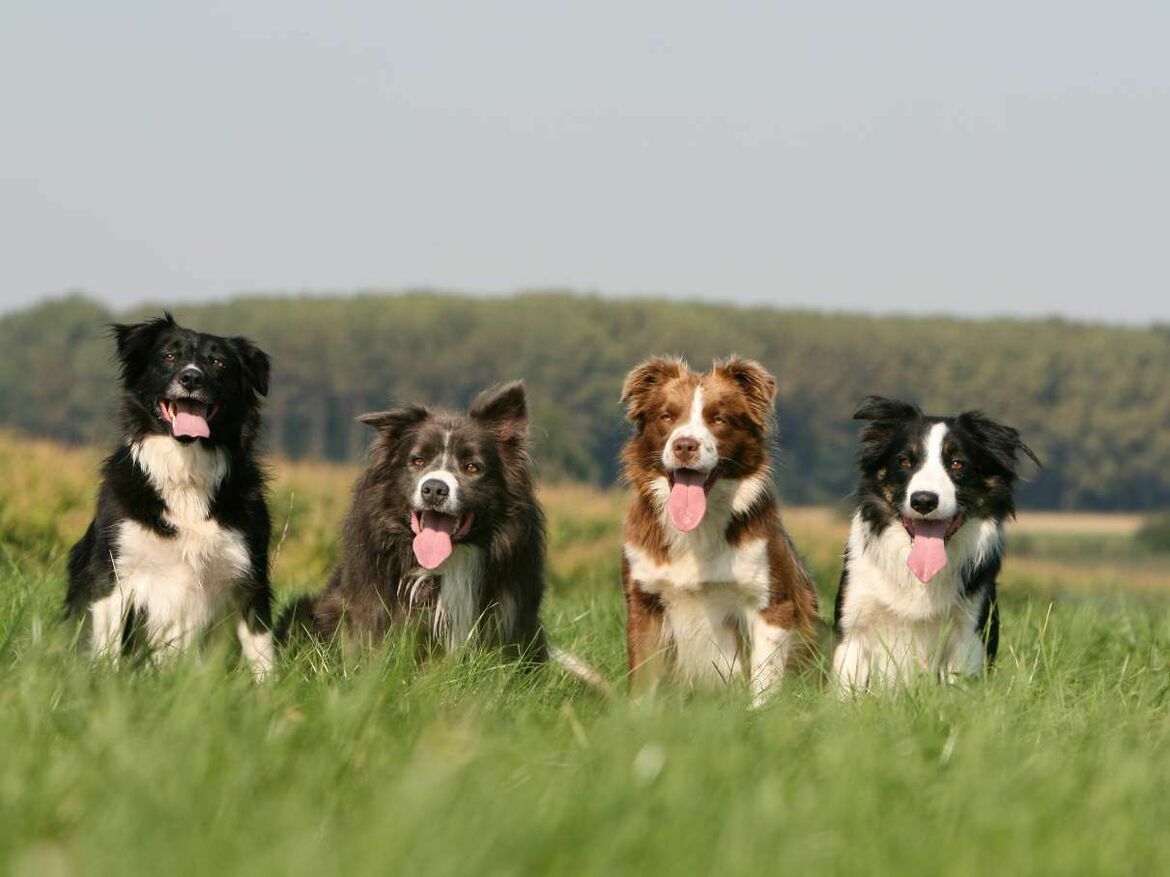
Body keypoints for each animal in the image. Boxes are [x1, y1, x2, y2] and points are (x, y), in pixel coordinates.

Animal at [68, 315, 276, 678]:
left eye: (218, 362)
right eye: (169, 356)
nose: (191, 377)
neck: (186, 474)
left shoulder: (249, 576)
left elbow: (261, 653)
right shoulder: (114, 573)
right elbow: (108, 648)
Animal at [617, 357, 819, 706]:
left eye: (719, 419)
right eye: (667, 416)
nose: (685, 445)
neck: (697, 530)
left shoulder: (772, 602)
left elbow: (763, 680)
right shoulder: (645, 600)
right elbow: (643, 676)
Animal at [833, 395, 1043, 692]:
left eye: (957, 464)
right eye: (904, 461)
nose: (923, 501)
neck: (919, 577)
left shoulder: (968, 633)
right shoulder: (854, 628)